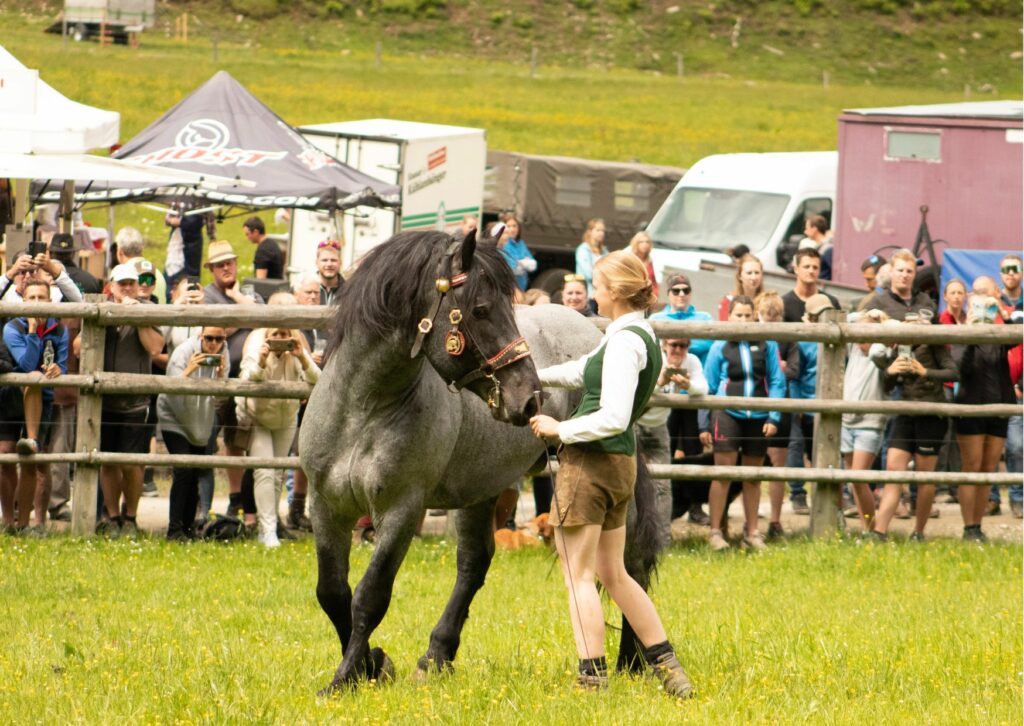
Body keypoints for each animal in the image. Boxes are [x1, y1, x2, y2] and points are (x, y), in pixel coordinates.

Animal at [299, 229, 659, 692]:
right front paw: (370, 665)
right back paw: (437, 655)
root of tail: (591, 328)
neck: (362, 407)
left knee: (630, 562)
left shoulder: (401, 511)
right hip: (480, 489)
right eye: (481, 309)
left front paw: (349, 674)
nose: (530, 397)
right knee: (473, 564)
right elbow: (332, 593)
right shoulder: (326, 506)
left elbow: (370, 595)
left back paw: (632, 659)